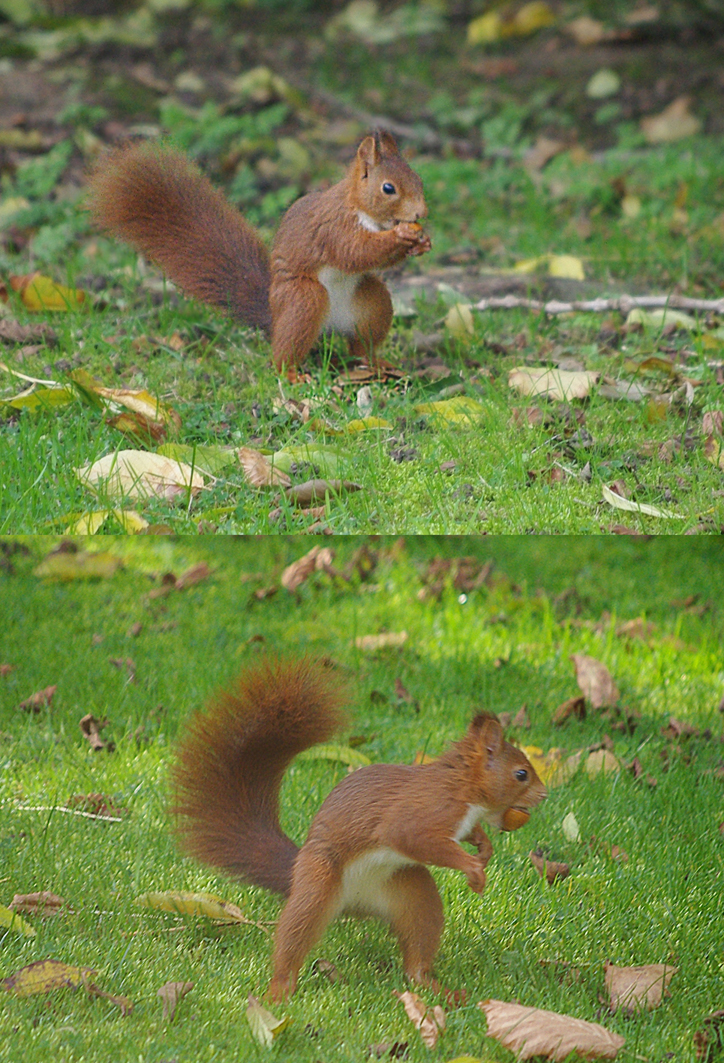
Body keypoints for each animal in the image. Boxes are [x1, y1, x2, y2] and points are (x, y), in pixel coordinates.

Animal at [88, 130, 431, 378]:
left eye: (418, 178)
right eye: (388, 188)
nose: (420, 213)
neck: (363, 210)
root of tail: (275, 316)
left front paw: (422, 242)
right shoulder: (332, 229)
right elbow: (356, 252)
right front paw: (400, 236)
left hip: (372, 303)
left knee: (360, 347)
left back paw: (377, 364)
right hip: (302, 299)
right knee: (283, 353)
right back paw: (291, 374)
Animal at [171, 654, 542, 1003]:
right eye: (521, 774)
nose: (544, 794)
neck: (462, 787)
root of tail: (355, 903)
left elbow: (467, 833)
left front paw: (484, 846)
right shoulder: (422, 812)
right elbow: (414, 838)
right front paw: (473, 869)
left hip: (413, 892)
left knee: (417, 950)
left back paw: (437, 987)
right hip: (318, 884)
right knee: (294, 936)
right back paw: (278, 991)